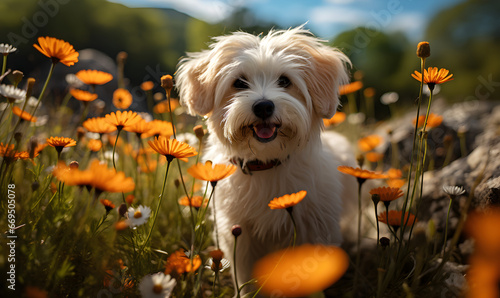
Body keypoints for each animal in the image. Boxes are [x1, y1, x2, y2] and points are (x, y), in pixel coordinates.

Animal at [175, 26, 356, 296]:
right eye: (239, 83)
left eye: (285, 81)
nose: (263, 106)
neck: (266, 163)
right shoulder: (237, 233)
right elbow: (245, 274)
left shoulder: (316, 228)